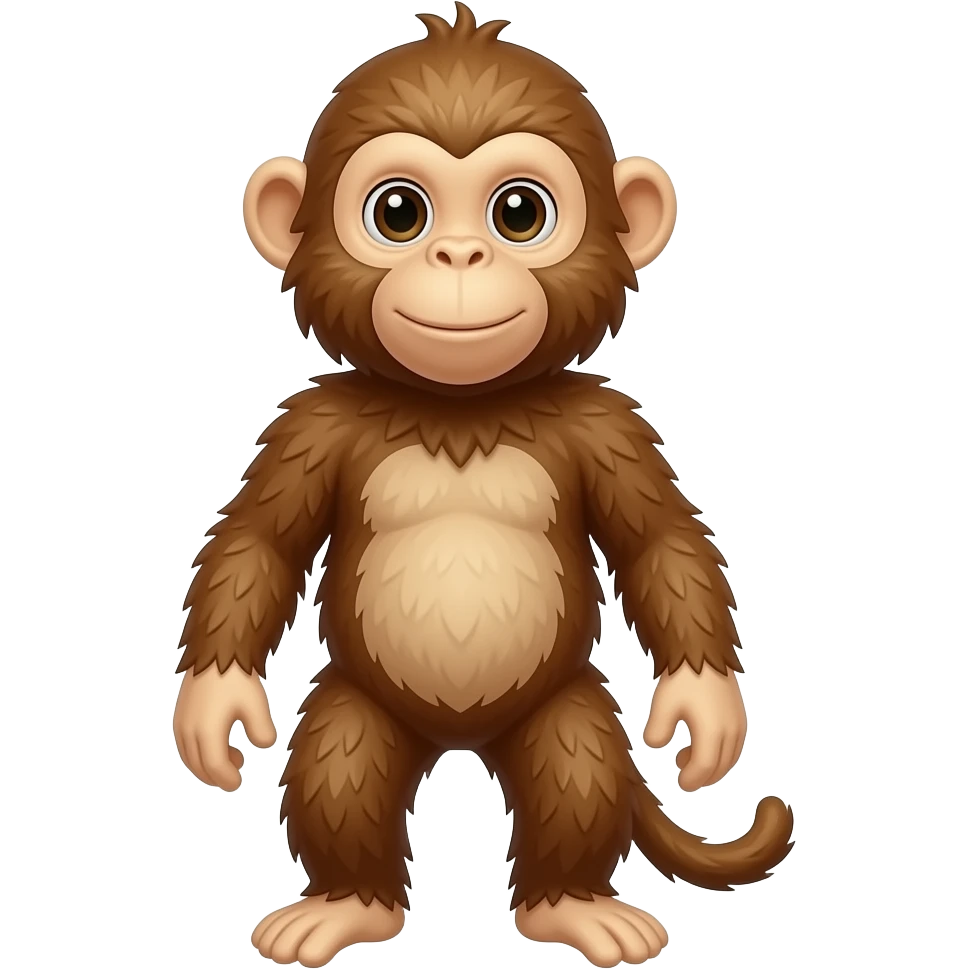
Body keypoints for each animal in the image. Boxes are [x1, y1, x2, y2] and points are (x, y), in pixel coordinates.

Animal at [173, 6, 796, 968]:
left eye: (518, 212)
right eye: (397, 211)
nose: (459, 252)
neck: (460, 409)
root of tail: (459, 737)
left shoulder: (605, 424)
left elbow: (659, 541)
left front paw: (706, 708)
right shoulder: (312, 424)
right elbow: (259, 543)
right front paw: (213, 707)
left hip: (561, 702)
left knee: (577, 764)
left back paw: (574, 905)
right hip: (360, 704)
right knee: (339, 765)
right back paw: (344, 903)